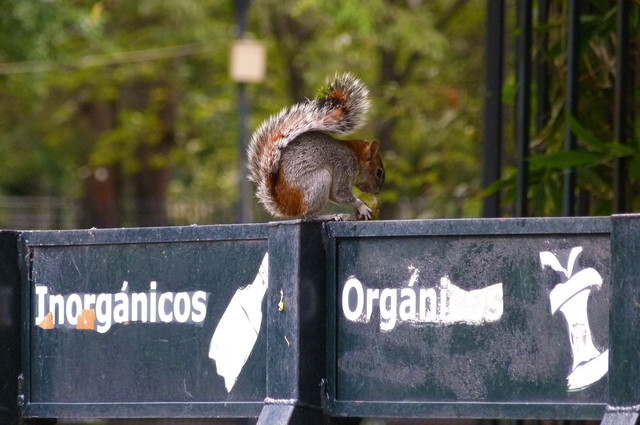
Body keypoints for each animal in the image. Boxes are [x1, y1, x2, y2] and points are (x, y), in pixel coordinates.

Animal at [247, 73, 385, 220]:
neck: (355, 156)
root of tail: (285, 205)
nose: (377, 192)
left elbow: (335, 195)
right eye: (378, 172)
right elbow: (340, 193)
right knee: (310, 215)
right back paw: (331, 216)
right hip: (318, 182)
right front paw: (362, 206)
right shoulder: (344, 166)